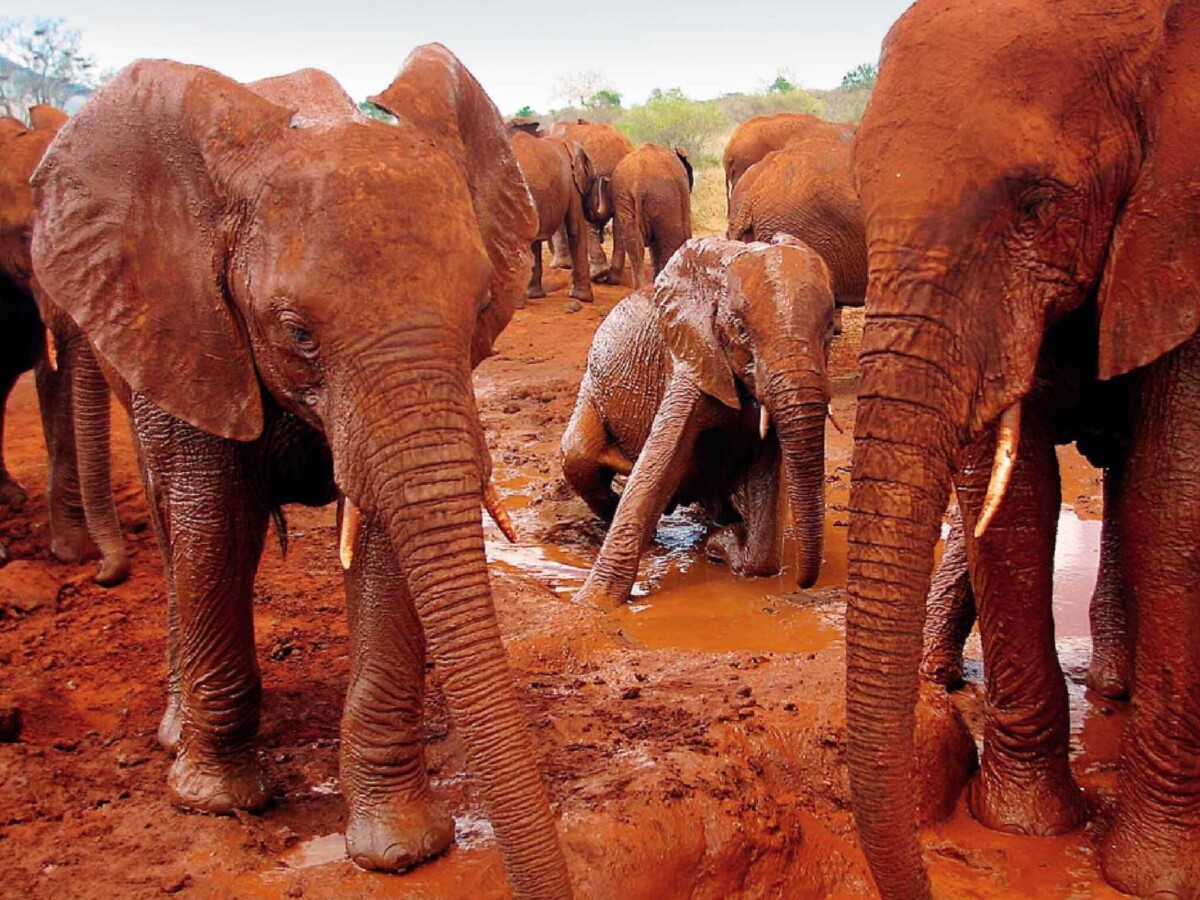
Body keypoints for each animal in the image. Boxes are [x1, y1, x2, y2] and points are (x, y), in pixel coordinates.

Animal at [30, 48, 571, 897]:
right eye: (296, 332)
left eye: (481, 302)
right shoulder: (190, 322)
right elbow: (216, 519)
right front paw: (216, 802)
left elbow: (383, 535)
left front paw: (399, 849)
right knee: (176, 528)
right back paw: (177, 733)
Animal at [546, 120, 634, 279]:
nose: (604, 181)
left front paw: (560, 266)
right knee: (619, 221)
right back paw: (613, 277)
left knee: (589, 222)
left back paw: (597, 274)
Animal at [565, 236, 834, 609]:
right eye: (740, 330)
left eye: (831, 330)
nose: (804, 585)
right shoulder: (691, 357)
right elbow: (658, 466)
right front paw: (592, 604)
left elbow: (766, 476)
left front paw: (720, 544)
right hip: (591, 388)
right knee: (578, 458)